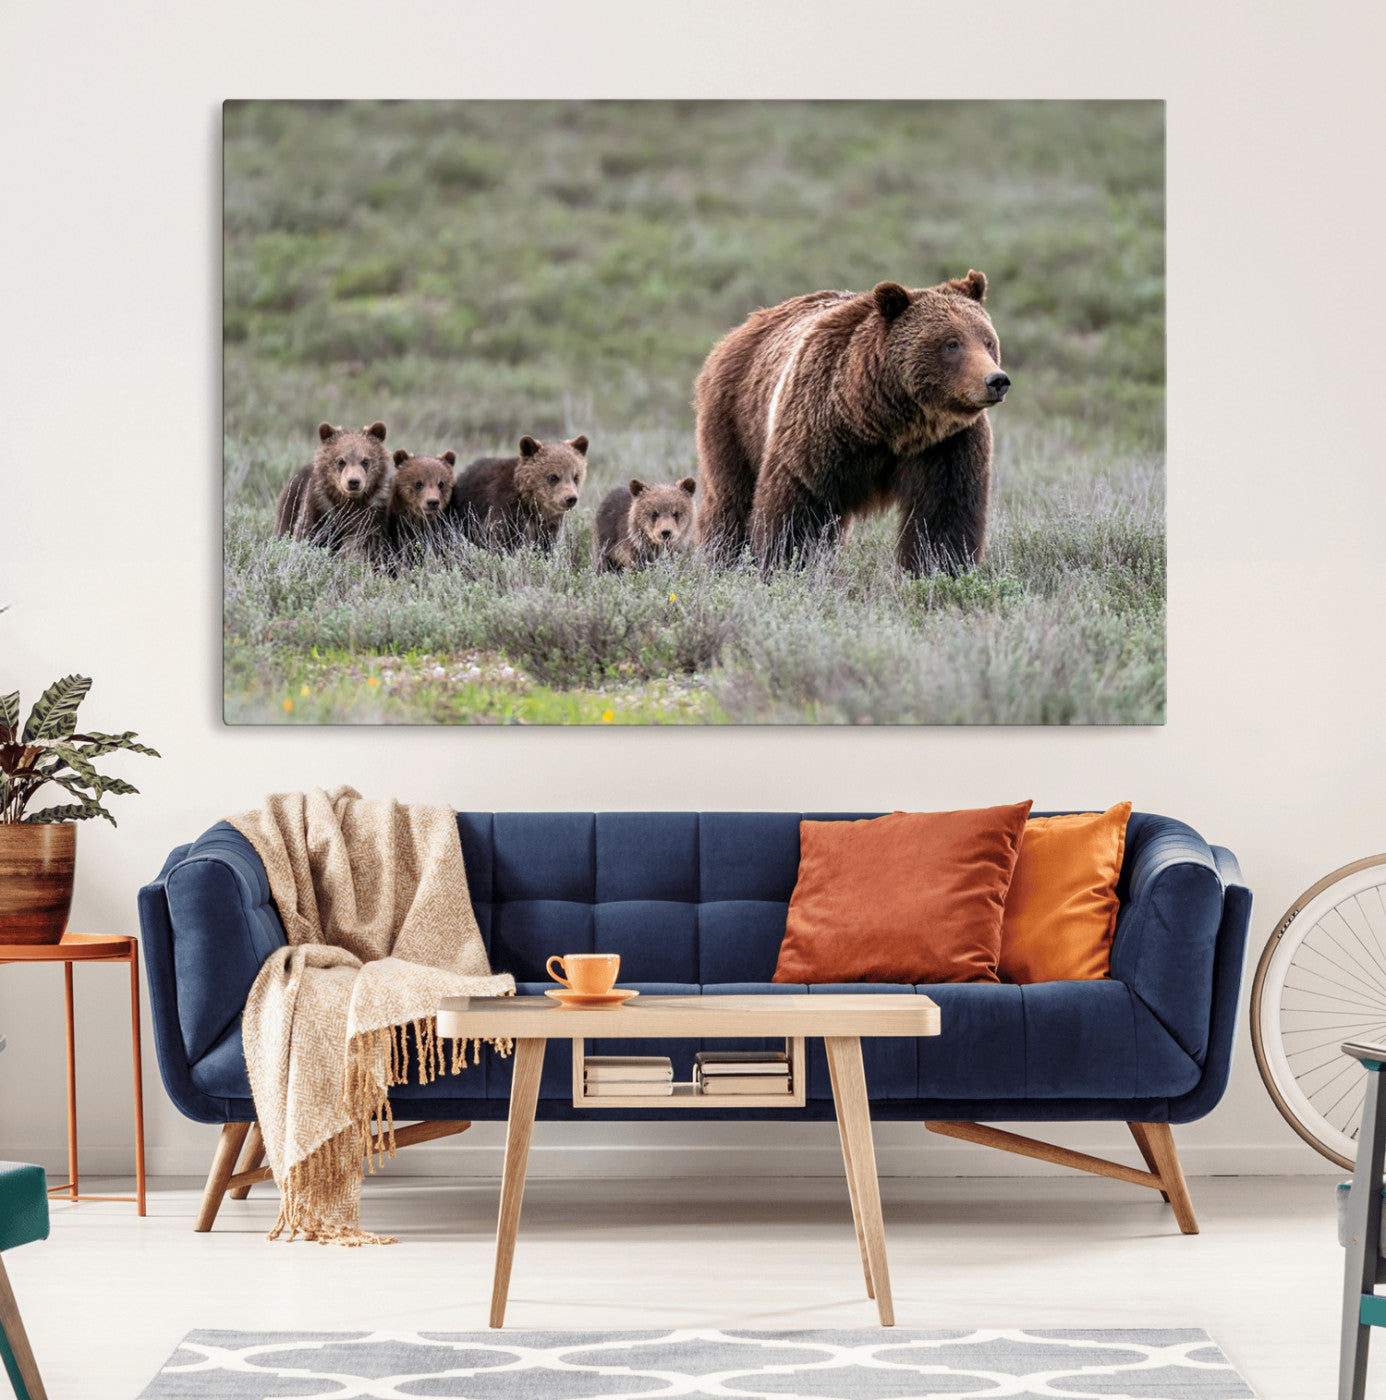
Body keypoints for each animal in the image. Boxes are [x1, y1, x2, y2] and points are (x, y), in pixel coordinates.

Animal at [274, 420, 394, 560]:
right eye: (341, 461)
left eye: (365, 461)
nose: (353, 482)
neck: (348, 501)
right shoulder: (320, 505)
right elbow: (307, 532)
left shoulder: (372, 511)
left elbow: (362, 541)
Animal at [446, 434, 589, 552]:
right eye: (553, 477)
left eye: (576, 476)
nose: (570, 498)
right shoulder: (506, 511)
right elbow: (505, 542)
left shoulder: (548, 524)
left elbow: (546, 544)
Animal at [693, 271, 1009, 575]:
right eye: (952, 344)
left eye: (988, 341)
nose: (996, 380)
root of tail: (739, 331)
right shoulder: (819, 430)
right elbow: (796, 508)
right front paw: (785, 565)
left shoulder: (946, 444)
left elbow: (944, 515)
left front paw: (938, 569)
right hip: (736, 418)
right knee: (730, 500)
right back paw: (722, 559)